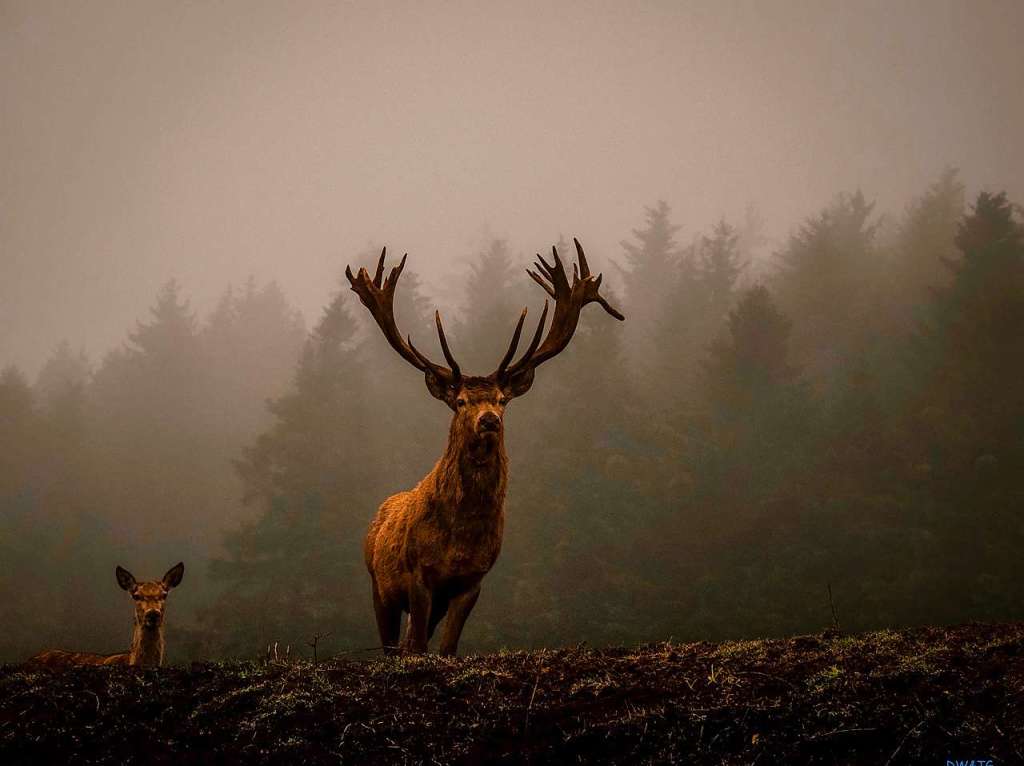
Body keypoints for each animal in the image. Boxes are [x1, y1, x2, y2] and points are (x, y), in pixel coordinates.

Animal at [346, 237, 622, 651]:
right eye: (461, 401)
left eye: (502, 399)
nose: (489, 420)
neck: (461, 538)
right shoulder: (419, 574)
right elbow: (418, 647)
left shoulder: (472, 582)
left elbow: (447, 648)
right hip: (379, 586)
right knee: (393, 646)